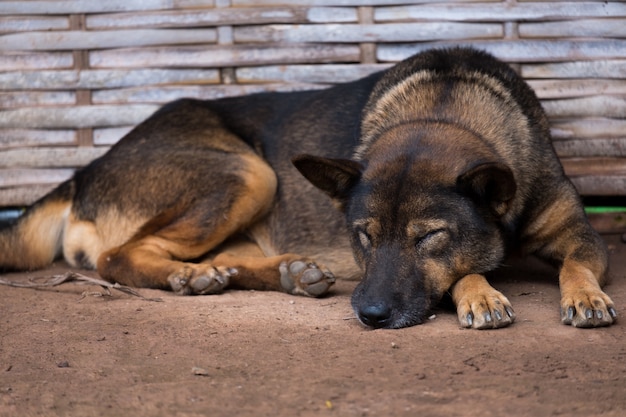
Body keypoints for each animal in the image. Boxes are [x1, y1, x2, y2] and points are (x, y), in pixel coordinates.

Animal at [0, 47, 616, 328]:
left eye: (428, 237)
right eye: (361, 236)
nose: (369, 314)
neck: (444, 109)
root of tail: (83, 171)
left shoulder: (582, 235)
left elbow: (575, 265)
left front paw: (585, 296)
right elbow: (467, 270)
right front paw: (481, 291)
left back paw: (281, 274)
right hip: (252, 172)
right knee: (114, 257)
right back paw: (189, 277)